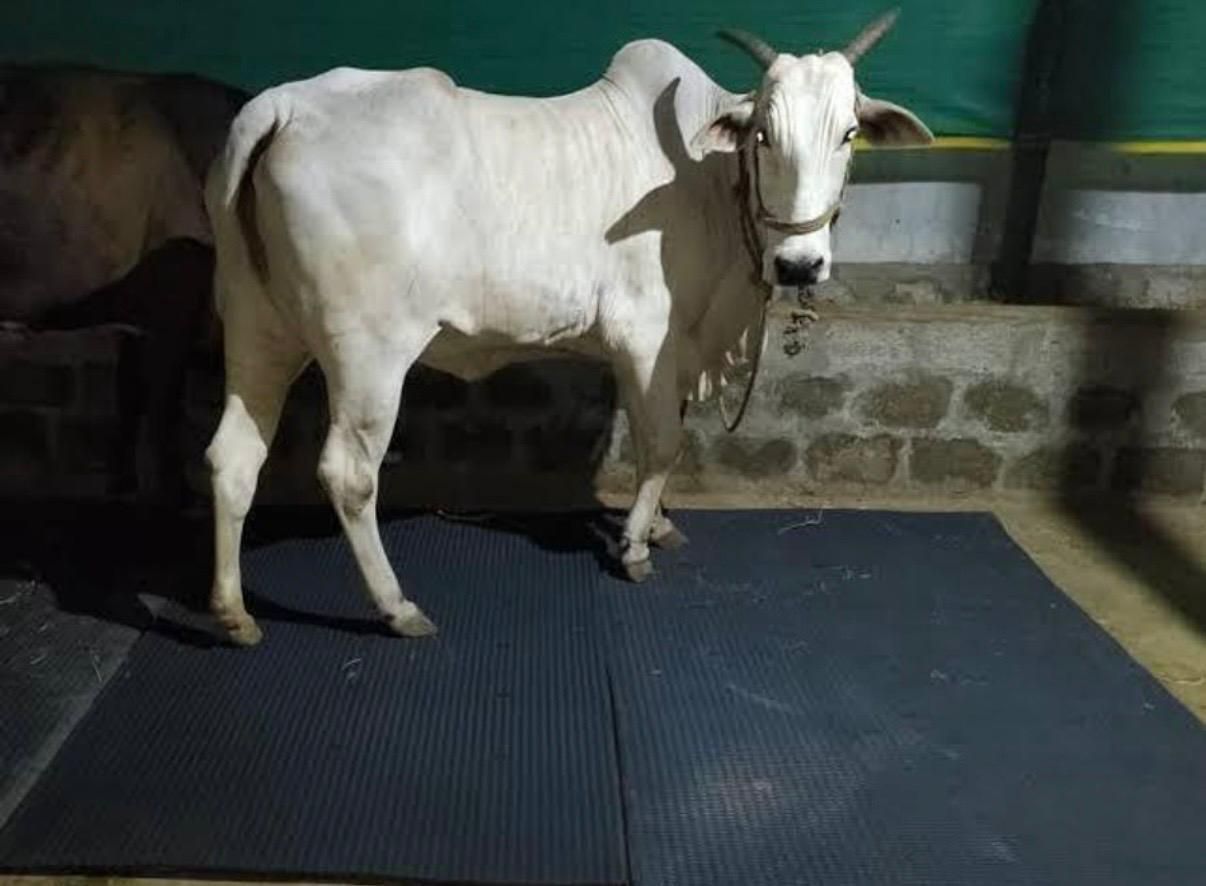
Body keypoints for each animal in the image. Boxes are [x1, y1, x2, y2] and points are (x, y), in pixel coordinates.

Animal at [0, 65, 247, 502]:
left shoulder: (139, 310)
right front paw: (179, 495)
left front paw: (122, 486)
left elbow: (130, 392)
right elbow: (165, 399)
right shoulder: (177, 284)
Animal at [204, 11, 932, 646]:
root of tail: (285, 105)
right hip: (369, 355)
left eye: (848, 134)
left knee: (233, 457)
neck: (708, 185)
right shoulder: (644, 335)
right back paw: (396, 606)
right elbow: (661, 442)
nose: (800, 263)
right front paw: (635, 546)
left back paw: (234, 613)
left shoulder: (677, 349)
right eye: (763, 136)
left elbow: (666, 431)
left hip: (257, 328)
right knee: (350, 474)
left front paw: (659, 525)